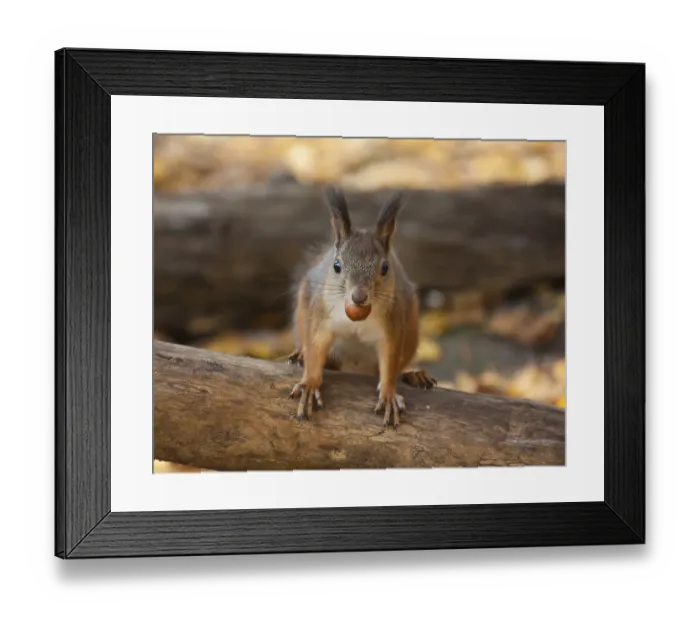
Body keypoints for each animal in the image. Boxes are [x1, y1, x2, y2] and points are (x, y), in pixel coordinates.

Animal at [287, 186, 437, 430]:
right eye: (336, 265)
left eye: (385, 268)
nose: (359, 297)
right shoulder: (319, 315)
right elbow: (316, 348)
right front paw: (309, 384)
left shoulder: (393, 322)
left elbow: (389, 360)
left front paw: (389, 394)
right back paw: (299, 355)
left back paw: (413, 375)